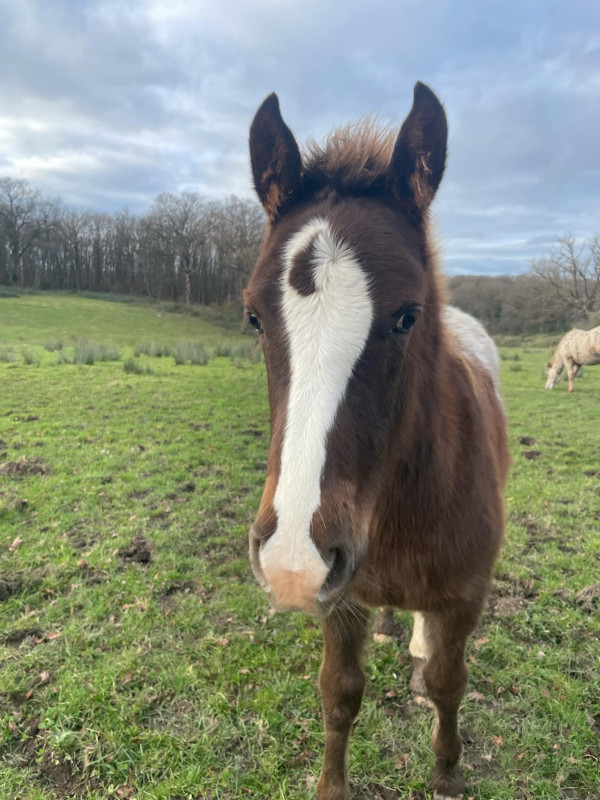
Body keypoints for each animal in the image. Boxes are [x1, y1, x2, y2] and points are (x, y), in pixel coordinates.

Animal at [246, 84, 508, 796]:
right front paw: (331, 786)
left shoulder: (464, 598)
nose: (292, 561)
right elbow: (339, 693)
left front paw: (447, 773)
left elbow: (447, 684)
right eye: (253, 317)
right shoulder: (342, 599)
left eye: (407, 317)